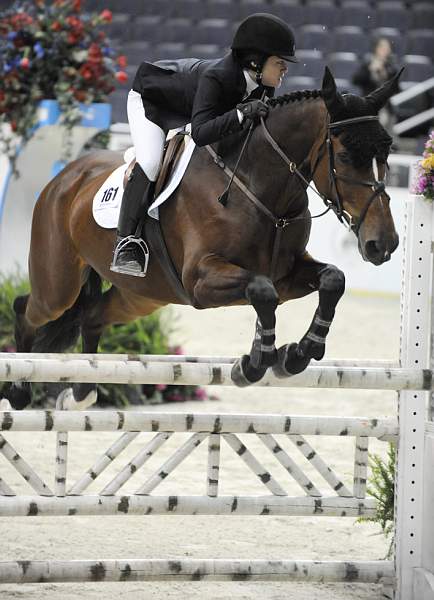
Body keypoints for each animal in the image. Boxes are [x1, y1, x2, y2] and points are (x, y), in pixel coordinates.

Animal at [5, 68, 400, 410]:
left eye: (387, 154)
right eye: (345, 156)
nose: (384, 244)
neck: (257, 185)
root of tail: (66, 177)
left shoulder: (287, 276)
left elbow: (333, 279)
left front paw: (296, 354)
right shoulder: (201, 279)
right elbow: (261, 291)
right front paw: (254, 364)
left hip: (142, 295)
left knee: (91, 316)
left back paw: (82, 392)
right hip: (59, 286)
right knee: (27, 309)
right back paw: (19, 392)